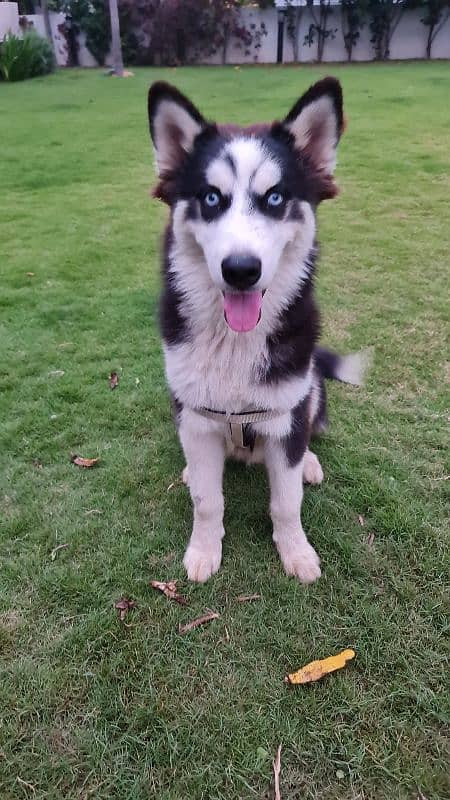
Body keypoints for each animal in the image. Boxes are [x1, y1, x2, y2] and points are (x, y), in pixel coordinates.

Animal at [148, 78, 366, 584]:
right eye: (211, 198)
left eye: (275, 198)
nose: (241, 270)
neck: (234, 344)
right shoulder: (194, 415)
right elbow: (207, 500)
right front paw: (204, 550)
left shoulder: (286, 415)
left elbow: (286, 502)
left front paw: (296, 552)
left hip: (312, 389)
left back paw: (308, 463)